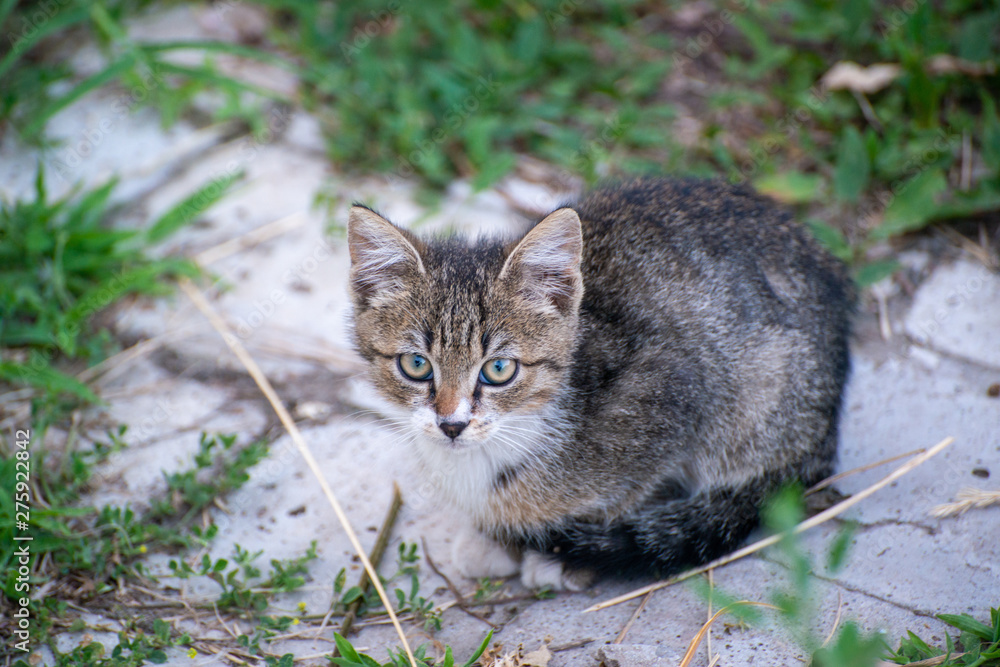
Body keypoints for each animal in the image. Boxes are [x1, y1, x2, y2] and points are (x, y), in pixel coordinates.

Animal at [346, 177, 852, 588]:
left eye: (499, 370)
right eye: (416, 365)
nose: (451, 424)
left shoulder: (675, 391)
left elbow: (633, 492)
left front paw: (568, 555)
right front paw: (497, 538)